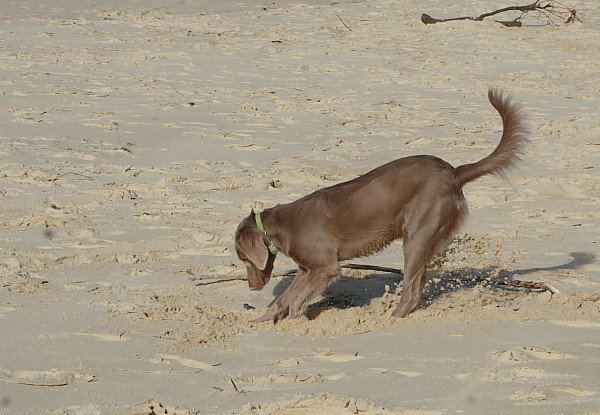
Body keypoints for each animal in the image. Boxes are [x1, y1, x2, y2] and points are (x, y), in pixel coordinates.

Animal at [234, 89, 524, 324]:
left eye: (243, 258)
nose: (251, 287)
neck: (281, 225)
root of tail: (454, 173)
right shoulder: (306, 269)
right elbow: (283, 299)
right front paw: (262, 321)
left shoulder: (325, 267)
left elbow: (295, 301)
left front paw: (297, 320)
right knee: (420, 282)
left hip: (417, 236)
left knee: (411, 291)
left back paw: (390, 319)